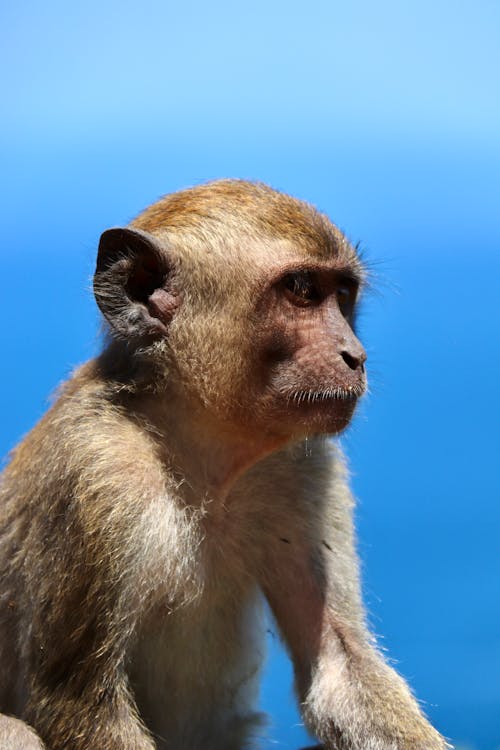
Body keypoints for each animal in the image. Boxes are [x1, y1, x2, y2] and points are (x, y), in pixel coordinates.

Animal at [0, 182, 450, 750]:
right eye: (302, 290)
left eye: (343, 294)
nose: (356, 355)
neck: (201, 455)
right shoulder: (94, 472)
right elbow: (77, 702)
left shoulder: (305, 467)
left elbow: (340, 664)